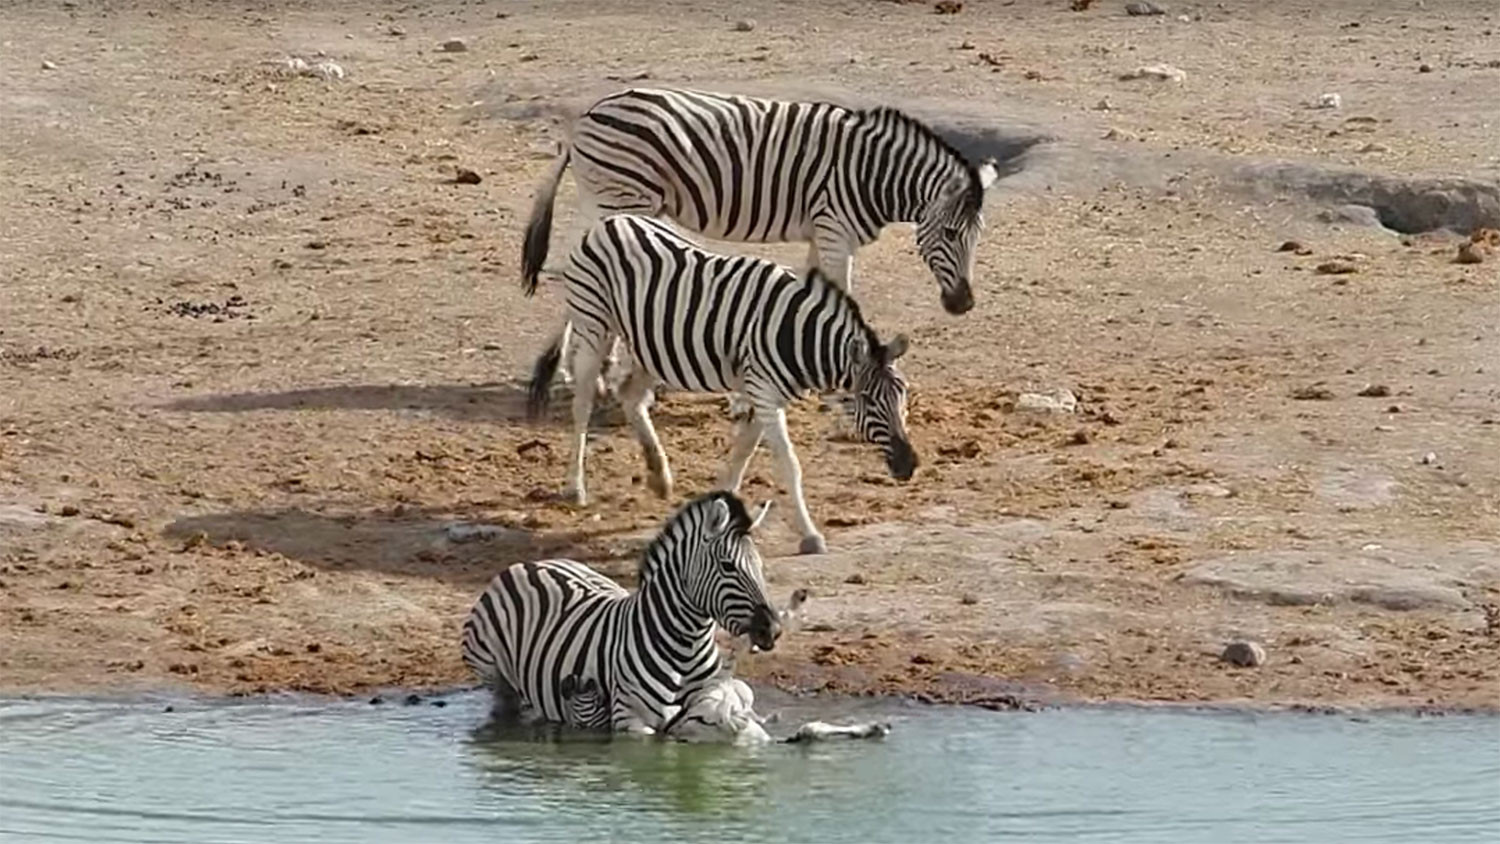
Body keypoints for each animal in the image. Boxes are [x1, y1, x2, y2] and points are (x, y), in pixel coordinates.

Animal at [462, 491, 780, 737]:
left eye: (761, 566)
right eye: (728, 566)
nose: (773, 629)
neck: (685, 648)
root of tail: (530, 563)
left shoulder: (706, 703)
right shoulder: (630, 721)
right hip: (493, 676)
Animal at [522, 82, 1002, 386]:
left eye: (977, 237)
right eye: (952, 234)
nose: (964, 304)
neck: (873, 173)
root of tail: (590, 114)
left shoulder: (820, 233)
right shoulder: (835, 230)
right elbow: (844, 295)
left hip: (602, 197)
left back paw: (571, 366)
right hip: (623, 198)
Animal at [522, 212, 912, 554]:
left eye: (903, 396)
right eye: (867, 399)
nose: (910, 465)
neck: (797, 335)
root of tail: (611, 221)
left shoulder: (766, 394)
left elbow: (743, 453)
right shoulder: (764, 392)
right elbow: (788, 465)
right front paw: (811, 536)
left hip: (653, 346)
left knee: (631, 397)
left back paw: (658, 476)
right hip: (594, 326)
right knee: (583, 404)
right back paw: (575, 487)